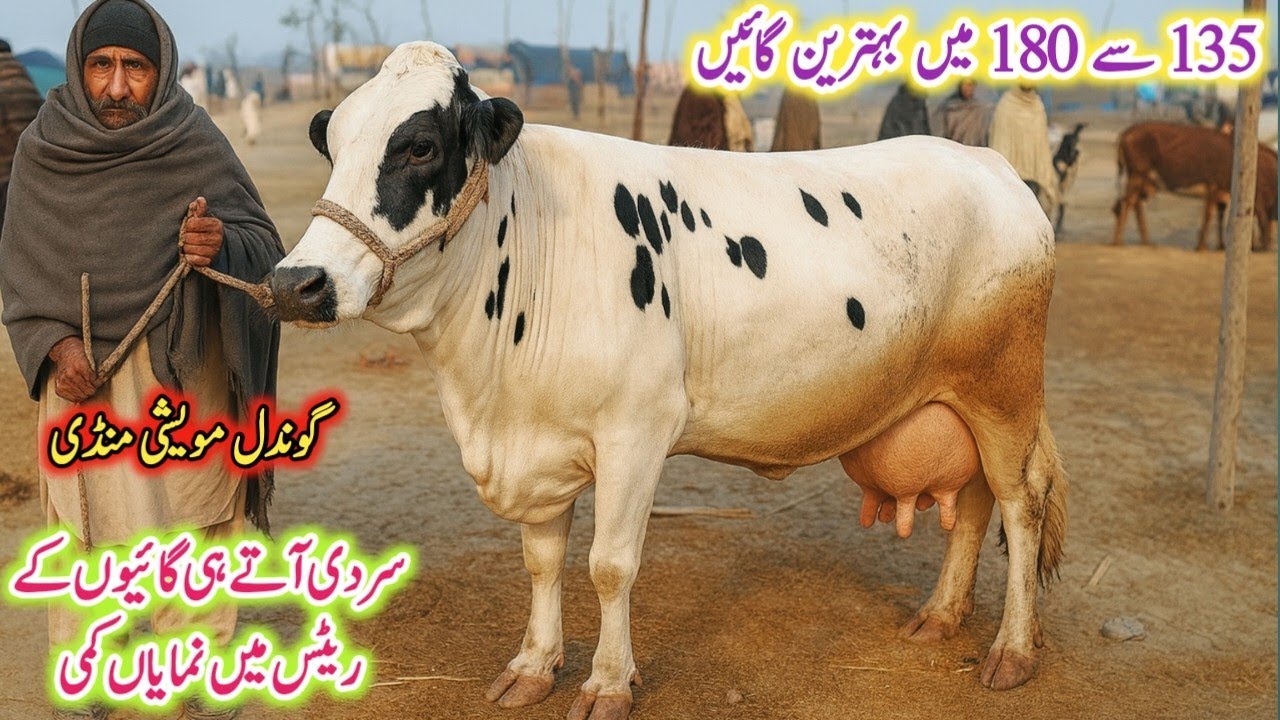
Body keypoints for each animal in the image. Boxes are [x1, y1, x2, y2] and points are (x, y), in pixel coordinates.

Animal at [270, 43, 1067, 720]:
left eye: (420, 146)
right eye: (332, 146)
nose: (295, 283)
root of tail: (992, 166)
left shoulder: (635, 433)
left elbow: (609, 566)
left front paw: (607, 683)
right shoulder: (534, 440)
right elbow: (541, 562)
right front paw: (533, 665)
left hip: (1006, 390)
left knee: (1019, 503)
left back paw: (1013, 649)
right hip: (961, 397)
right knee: (973, 504)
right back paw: (941, 615)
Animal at [1113, 121, 1278, 250]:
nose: (1265, 247)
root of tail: (1125, 133)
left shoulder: (1222, 191)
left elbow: (1219, 215)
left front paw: (1221, 245)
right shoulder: (1212, 186)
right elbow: (1209, 216)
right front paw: (1201, 247)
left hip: (1140, 177)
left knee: (1132, 203)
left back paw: (1146, 242)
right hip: (1137, 173)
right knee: (1126, 202)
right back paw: (1118, 242)